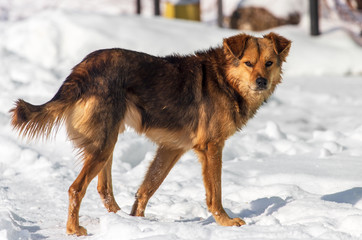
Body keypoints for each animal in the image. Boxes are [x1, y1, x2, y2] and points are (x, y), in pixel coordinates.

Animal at [9, 32, 292, 236]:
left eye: (269, 64)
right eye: (248, 63)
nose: (261, 82)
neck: (225, 79)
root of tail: (82, 68)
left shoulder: (172, 148)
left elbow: (147, 188)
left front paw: (138, 222)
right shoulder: (211, 147)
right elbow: (215, 193)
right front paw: (225, 222)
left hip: (108, 141)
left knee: (103, 187)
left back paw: (120, 219)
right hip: (103, 144)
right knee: (75, 189)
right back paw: (74, 229)